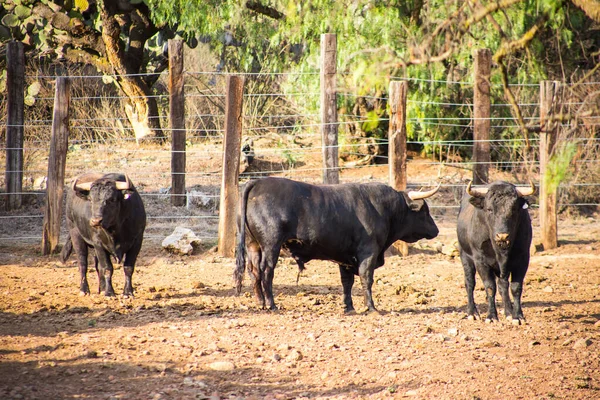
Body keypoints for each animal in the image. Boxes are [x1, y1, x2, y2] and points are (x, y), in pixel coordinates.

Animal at [234, 177, 440, 312]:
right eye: (425, 210)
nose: (436, 230)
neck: (383, 208)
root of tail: (258, 182)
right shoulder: (368, 252)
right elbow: (366, 278)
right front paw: (371, 307)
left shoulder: (345, 257)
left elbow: (347, 282)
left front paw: (348, 307)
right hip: (271, 245)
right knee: (266, 271)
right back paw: (271, 304)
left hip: (253, 245)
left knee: (254, 272)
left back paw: (260, 302)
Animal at [458, 180, 536, 324]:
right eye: (489, 209)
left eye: (514, 209)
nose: (502, 236)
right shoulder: (481, 260)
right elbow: (490, 287)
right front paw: (491, 316)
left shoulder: (522, 259)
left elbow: (516, 287)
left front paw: (517, 316)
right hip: (465, 256)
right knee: (470, 283)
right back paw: (472, 313)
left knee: (503, 285)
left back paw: (508, 312)